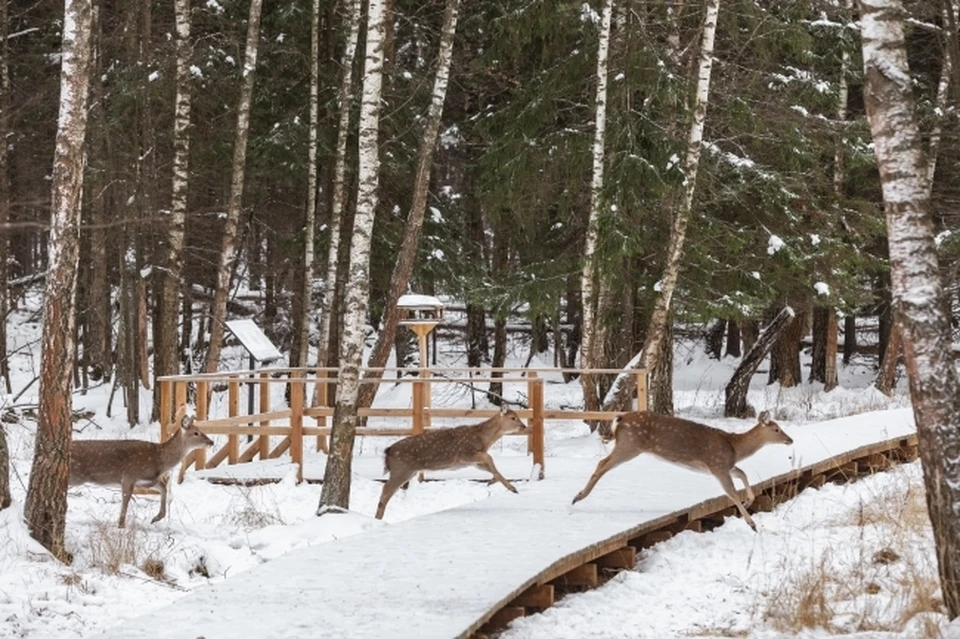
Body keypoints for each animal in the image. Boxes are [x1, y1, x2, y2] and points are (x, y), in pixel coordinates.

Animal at [70, 412, 214, 528]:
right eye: (196, 433)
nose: (211, 442)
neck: (160, 459)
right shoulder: (129, 476)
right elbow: (126, 500)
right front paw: (121, 526)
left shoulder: (148, 480)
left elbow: (164, 488)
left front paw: (156, 518)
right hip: (74, 477)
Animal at [376, 410, 528, 520]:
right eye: (513, 418)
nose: (524, 426)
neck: (484, 441)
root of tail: (388, 450)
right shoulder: (464, 454)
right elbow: (489, 458)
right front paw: (510, 487)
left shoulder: (472, 462)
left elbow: (490, 466)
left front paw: (499, 483)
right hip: (401, 469)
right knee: (385, 489)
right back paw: (379, 518)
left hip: (408, 471)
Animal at [572, 410, 792, 528]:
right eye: (776, 429)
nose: (790, 440)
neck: (735, 447)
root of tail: (621, 418)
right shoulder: (718, 464)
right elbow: (731, 492)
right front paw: (751, 523)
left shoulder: (725, 466)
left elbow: (743, 474)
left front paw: (749, 502)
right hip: (630, 445)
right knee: (602, 463)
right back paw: (578, 497)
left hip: (628, 445)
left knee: (602, 463)